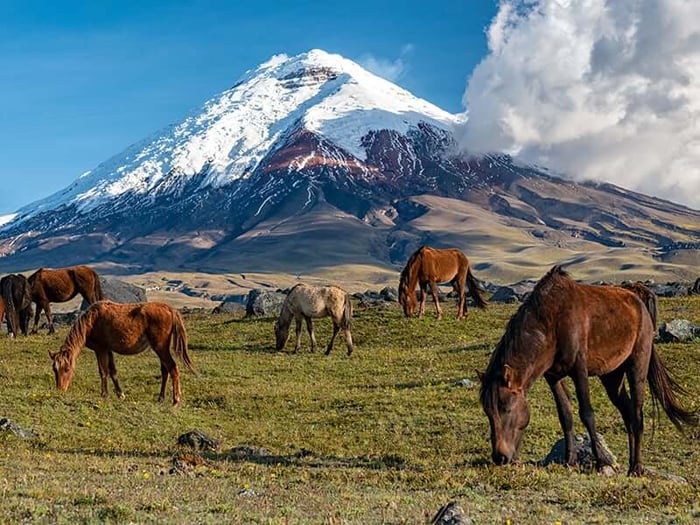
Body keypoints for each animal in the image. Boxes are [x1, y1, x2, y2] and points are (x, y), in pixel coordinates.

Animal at [49, 301, 194, 405]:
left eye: (67, 369)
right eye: (55, 369)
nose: (60, 389)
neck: (91, 321)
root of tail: (170, 309)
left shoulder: (101, 349)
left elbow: (103, 371)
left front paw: (104, 394)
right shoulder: (108, 350)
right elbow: (113, 371)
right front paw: (120, 394)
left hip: (161, 347)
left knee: (173, 368)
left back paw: (175, 400)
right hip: (160, 349)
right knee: (165, 371)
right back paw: (161, 398)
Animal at [479, 266, 697, 476]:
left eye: (506, 408)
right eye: (488, 411)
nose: (500, 457)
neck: (552, 322)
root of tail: (637, 298)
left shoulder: (579, 370)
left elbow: (587, 414)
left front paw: (600, 462)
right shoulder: (553, 376)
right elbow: (565, 415)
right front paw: (570, 460)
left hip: (637, 366)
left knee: (637, 415)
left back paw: (637, 467)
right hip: (611, 377)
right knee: (627, 413)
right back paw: (630, 466)